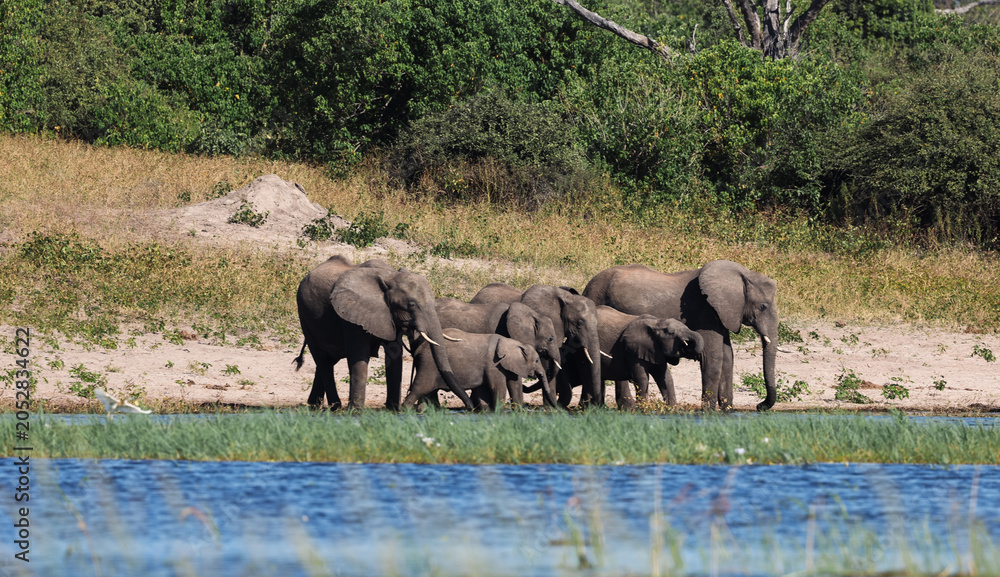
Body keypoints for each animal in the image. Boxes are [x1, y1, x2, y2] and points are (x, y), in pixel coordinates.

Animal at [294, 255, 474, 411]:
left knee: (326, 361)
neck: (390, 276)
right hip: (304, 315)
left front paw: (393, 410)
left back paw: (314, 405)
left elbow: (394, 356)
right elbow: (359, 356)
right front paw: (356, 411)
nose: (471, 408)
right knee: (322, 360)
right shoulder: (351, 315)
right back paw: (335, 407)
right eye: (411, 304)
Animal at [403, 329, 554, 411]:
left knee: (427, 393)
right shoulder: (493, 364)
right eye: (537, 361)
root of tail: (418, 350)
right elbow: (498, 387)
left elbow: (514, 386)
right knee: (419, 389)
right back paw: (406, 410)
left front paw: (517, 412)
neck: (512, 342)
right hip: (428, 365)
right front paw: (498, 412)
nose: (557, 408)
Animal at [583, 260, 779, 411]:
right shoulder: (704, 311)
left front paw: (727, 411)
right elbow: (714, 356)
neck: (743, 274)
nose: (759, 406)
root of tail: (587, 287)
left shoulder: (721, 313)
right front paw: (708, 412)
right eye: (763, 306)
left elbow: (728, 356)